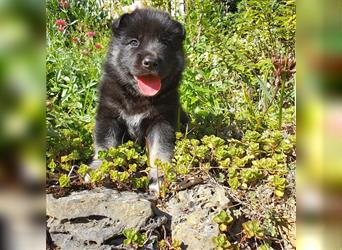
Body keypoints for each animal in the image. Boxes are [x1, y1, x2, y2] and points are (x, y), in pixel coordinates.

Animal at [93, 7, 187, 192]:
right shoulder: (109, 117)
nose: (151, 62)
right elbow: (104, 146)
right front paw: (98, 170)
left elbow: (160, 150)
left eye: (165, 42)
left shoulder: (162, 121)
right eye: (134, 42)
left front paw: (159, 177)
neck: (137, 97)